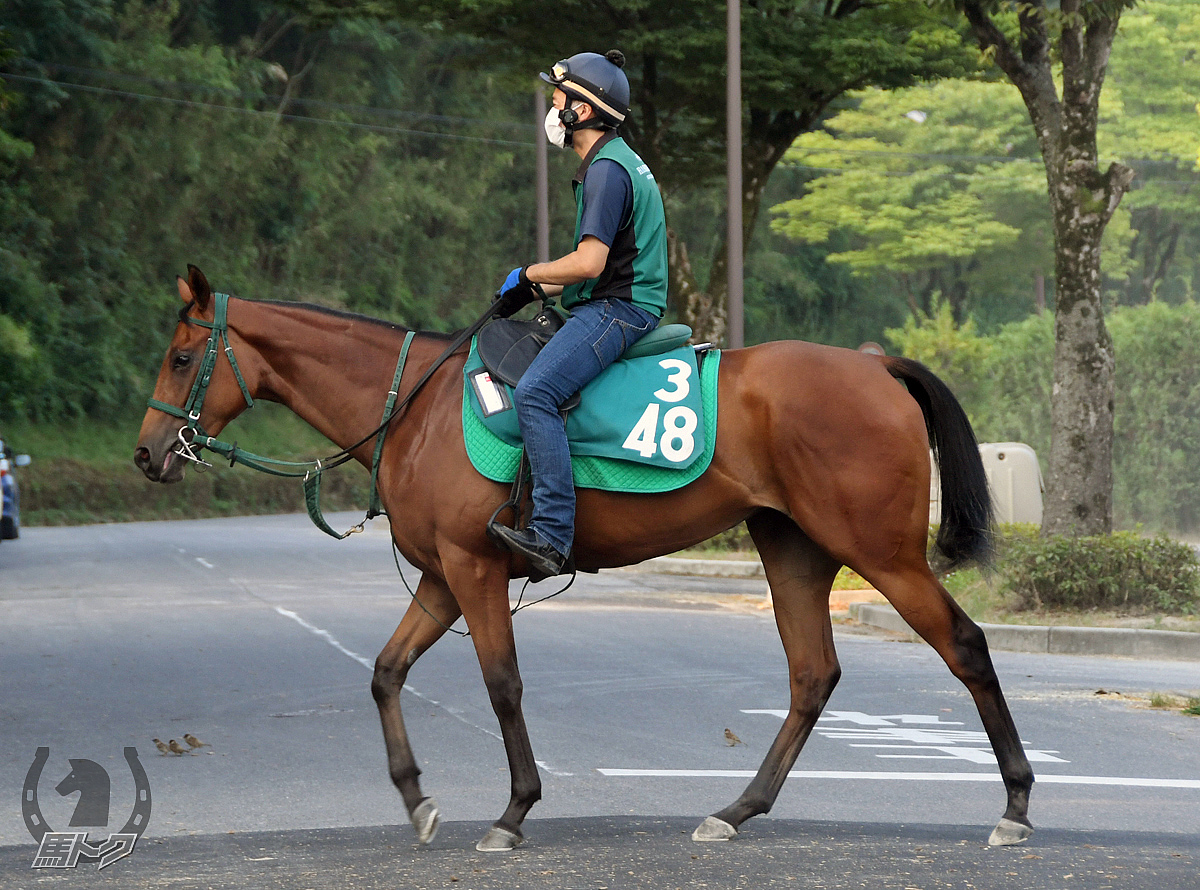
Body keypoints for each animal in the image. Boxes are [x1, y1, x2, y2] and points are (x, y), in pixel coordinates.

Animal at [129, 268, 1032, 854]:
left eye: (179, 357)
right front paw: (416, 798)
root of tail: (874, 363)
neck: (418, 407)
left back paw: (1017, 804)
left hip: (880, 553)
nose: (145, 454)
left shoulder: (474, 571)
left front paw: (514, 811)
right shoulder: (441, 580)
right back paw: (738, 809)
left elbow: (502, 685)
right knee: (812, 674)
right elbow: (385, 673)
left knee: (965, 646)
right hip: (796, 552)